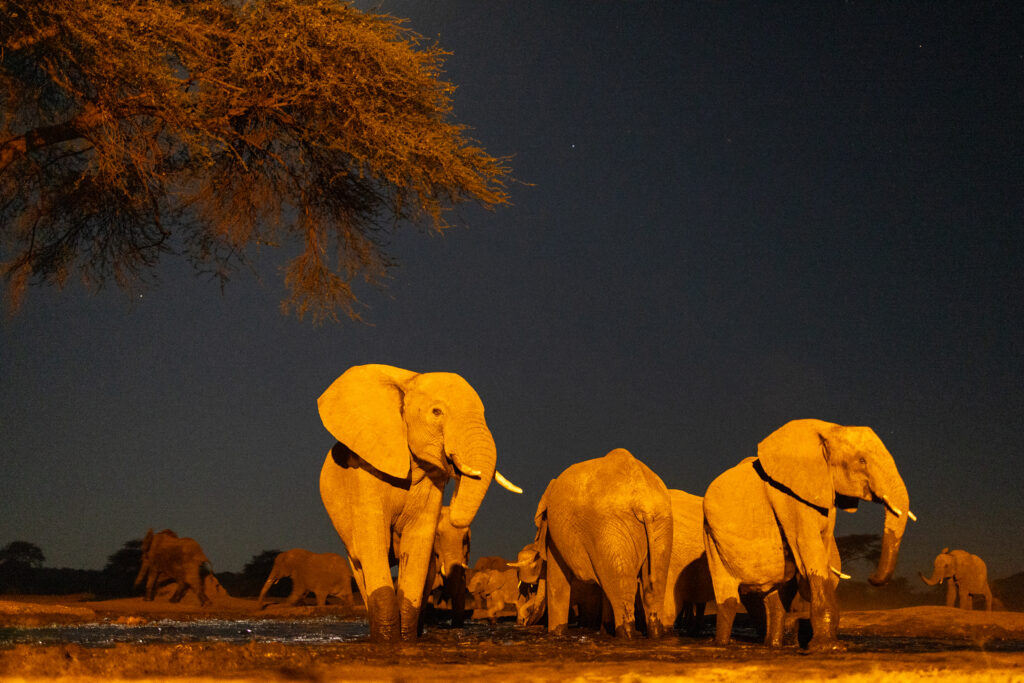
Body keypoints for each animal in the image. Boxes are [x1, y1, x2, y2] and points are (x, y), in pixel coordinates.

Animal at [317, 364, 521, 642]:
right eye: (436, 412)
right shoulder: (363, 471)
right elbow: (374, 543)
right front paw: (388, 643)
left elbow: (417, 544)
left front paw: (406, 639)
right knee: (358, 562)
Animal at [509, 448, 673, 638]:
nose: (523, 622)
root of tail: (643, 501)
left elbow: (558, 584)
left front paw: (556, 634)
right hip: (660, 523)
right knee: (654, 585)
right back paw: (655, 634)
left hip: (609, 526)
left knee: (622, 586)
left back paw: (627, 635)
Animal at [703, 419, 914, 651]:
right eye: (861, 461)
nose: (871, 578)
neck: (829, 429)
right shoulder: (789, 496)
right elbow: (810, 547)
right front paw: (829, 647)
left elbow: (824, 548)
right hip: (711, 537)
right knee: (728, 599)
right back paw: (722, 644)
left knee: (773, 600)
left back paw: (774, 646)